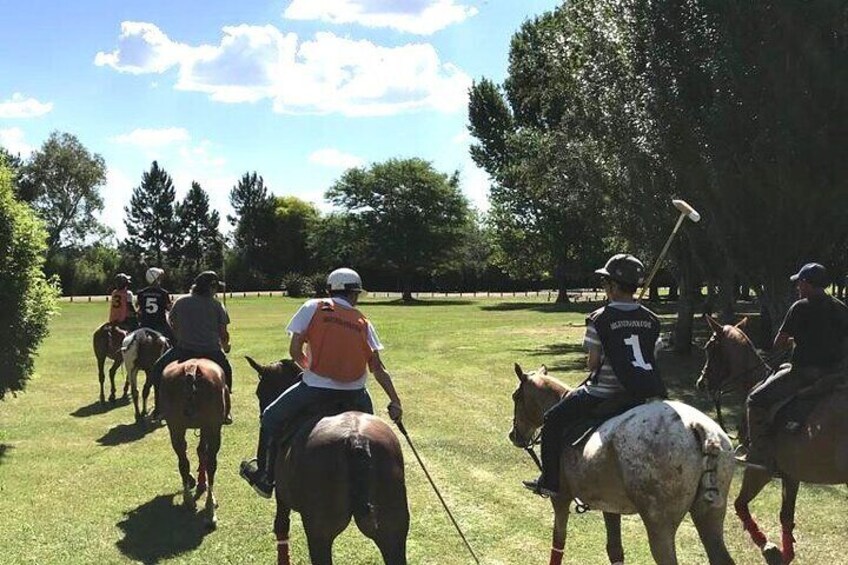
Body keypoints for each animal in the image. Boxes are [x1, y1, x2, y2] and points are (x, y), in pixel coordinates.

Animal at [161, 356, 227, 528]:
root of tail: (191, 366)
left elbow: (199, 451)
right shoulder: (208, 426)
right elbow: (202, 451)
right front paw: (201, 483)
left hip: (176, 428)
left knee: (183, 462)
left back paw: (189, 500)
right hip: (213, 428)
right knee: (211, 463)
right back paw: (210, 509)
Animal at [243, 356, 410, 564]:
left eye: (259, 392)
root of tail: (356, 438)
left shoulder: (282, 496)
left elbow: (281, 526)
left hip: (320, 531)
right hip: (392, 529)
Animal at [510, 364, 736, 560]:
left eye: (515, 397)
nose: (514, 435)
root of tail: (697, 426)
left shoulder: (560, 498)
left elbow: (558, 542)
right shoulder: (610, 506)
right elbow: (615, 549)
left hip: (659, 524)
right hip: (711, 514)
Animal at [696, 312, 848, 564]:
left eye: (710, 348)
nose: (701, 382)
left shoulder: (759, 470)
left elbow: (740, 504)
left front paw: (766, 544)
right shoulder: (791, 474)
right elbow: (786, 516)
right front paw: (784, 551)